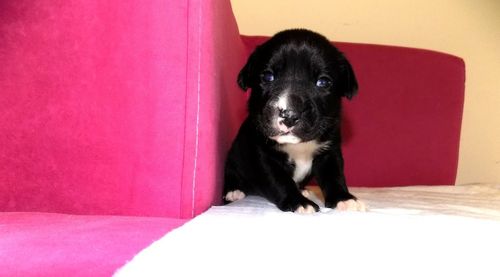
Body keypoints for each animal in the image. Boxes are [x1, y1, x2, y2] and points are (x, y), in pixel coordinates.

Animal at [225, 29, 366, 212]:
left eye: (323, 82)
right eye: (268, 77)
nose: (289, 114)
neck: (298, 146)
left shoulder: (329, 151)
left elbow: (334, 175)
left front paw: (344, 198)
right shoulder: (263, 156)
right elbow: (280, 181)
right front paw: (299, 202)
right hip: (233, 158)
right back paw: (234, 191)